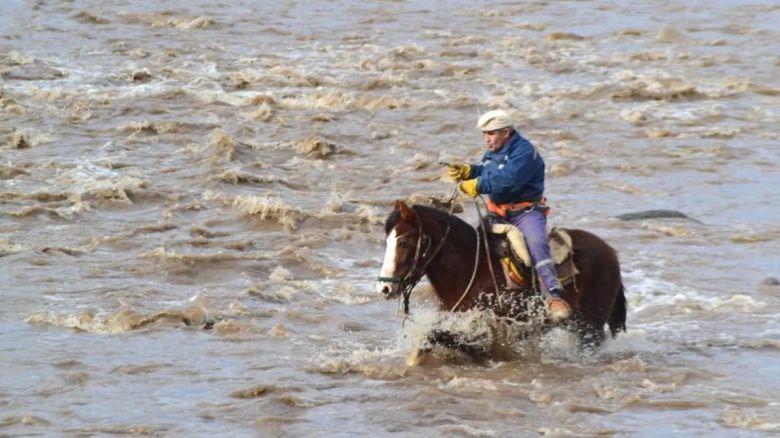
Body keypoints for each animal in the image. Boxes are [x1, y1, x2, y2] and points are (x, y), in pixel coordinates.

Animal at [374, 200, 624, 358]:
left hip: (591, 327)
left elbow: (435, 337)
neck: (471, 271)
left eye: (403, 242)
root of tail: (610, 252)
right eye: (387, 241)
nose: (384, 288)